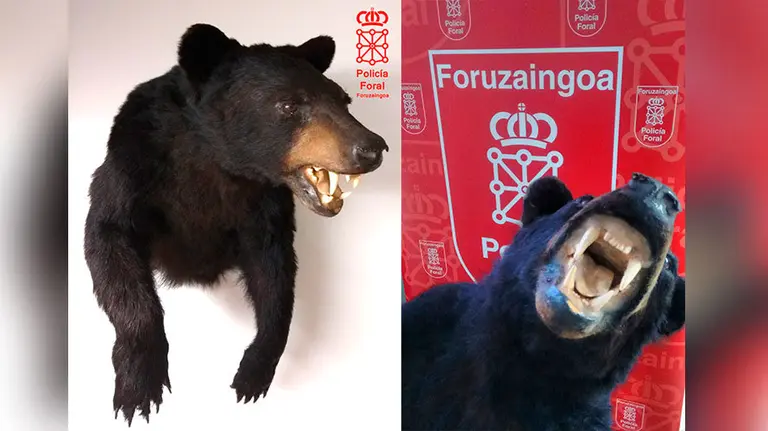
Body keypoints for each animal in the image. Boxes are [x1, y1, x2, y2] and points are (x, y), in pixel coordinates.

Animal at [83, 23, 388, 425]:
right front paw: (139, 385)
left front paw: (253, 373)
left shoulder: (263, 206)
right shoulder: (133, 166)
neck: (218, 166)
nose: (372, 148)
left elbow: (275, 273)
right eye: (289, 105)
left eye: (344, 101)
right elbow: (108, 240)